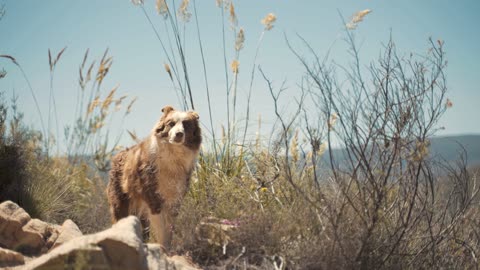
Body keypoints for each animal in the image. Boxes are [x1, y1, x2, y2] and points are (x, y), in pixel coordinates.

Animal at [107, 106, 201, 249]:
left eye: (186, 124)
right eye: (171, 123)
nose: (179, 134)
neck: (173, 157)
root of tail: (120, 154)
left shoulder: (175, 199)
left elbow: (169, 230)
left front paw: (167, 248)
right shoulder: (153, 198)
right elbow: (161, 229)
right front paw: (163, 249)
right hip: (121, 201)